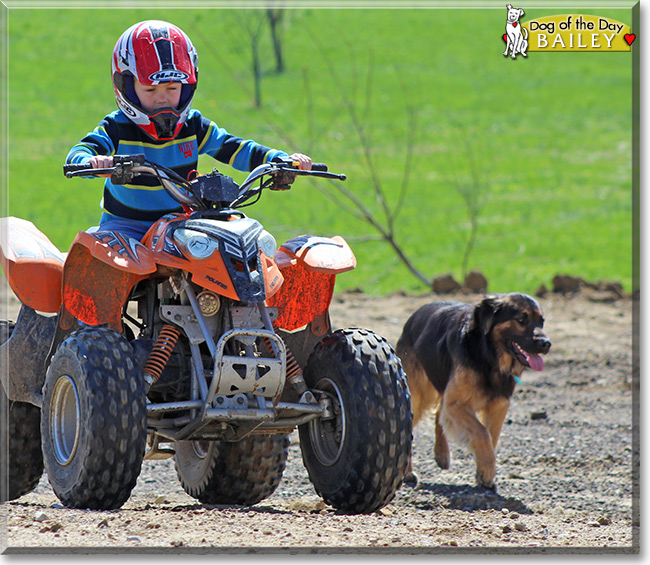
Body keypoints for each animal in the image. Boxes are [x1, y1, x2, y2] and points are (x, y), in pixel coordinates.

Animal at [392, 294, 548, 486]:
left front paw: (483, 471)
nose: (546, 344)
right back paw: (407, 471)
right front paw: (487, 471)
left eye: (541, 321)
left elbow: (491, 437)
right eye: (521, 319)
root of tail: (413, 317)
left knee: (439, 414)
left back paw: (442, 454)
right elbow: (482, 433)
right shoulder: (457, 403)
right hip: (418, 396)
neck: (488, 355)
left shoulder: (498, 405)